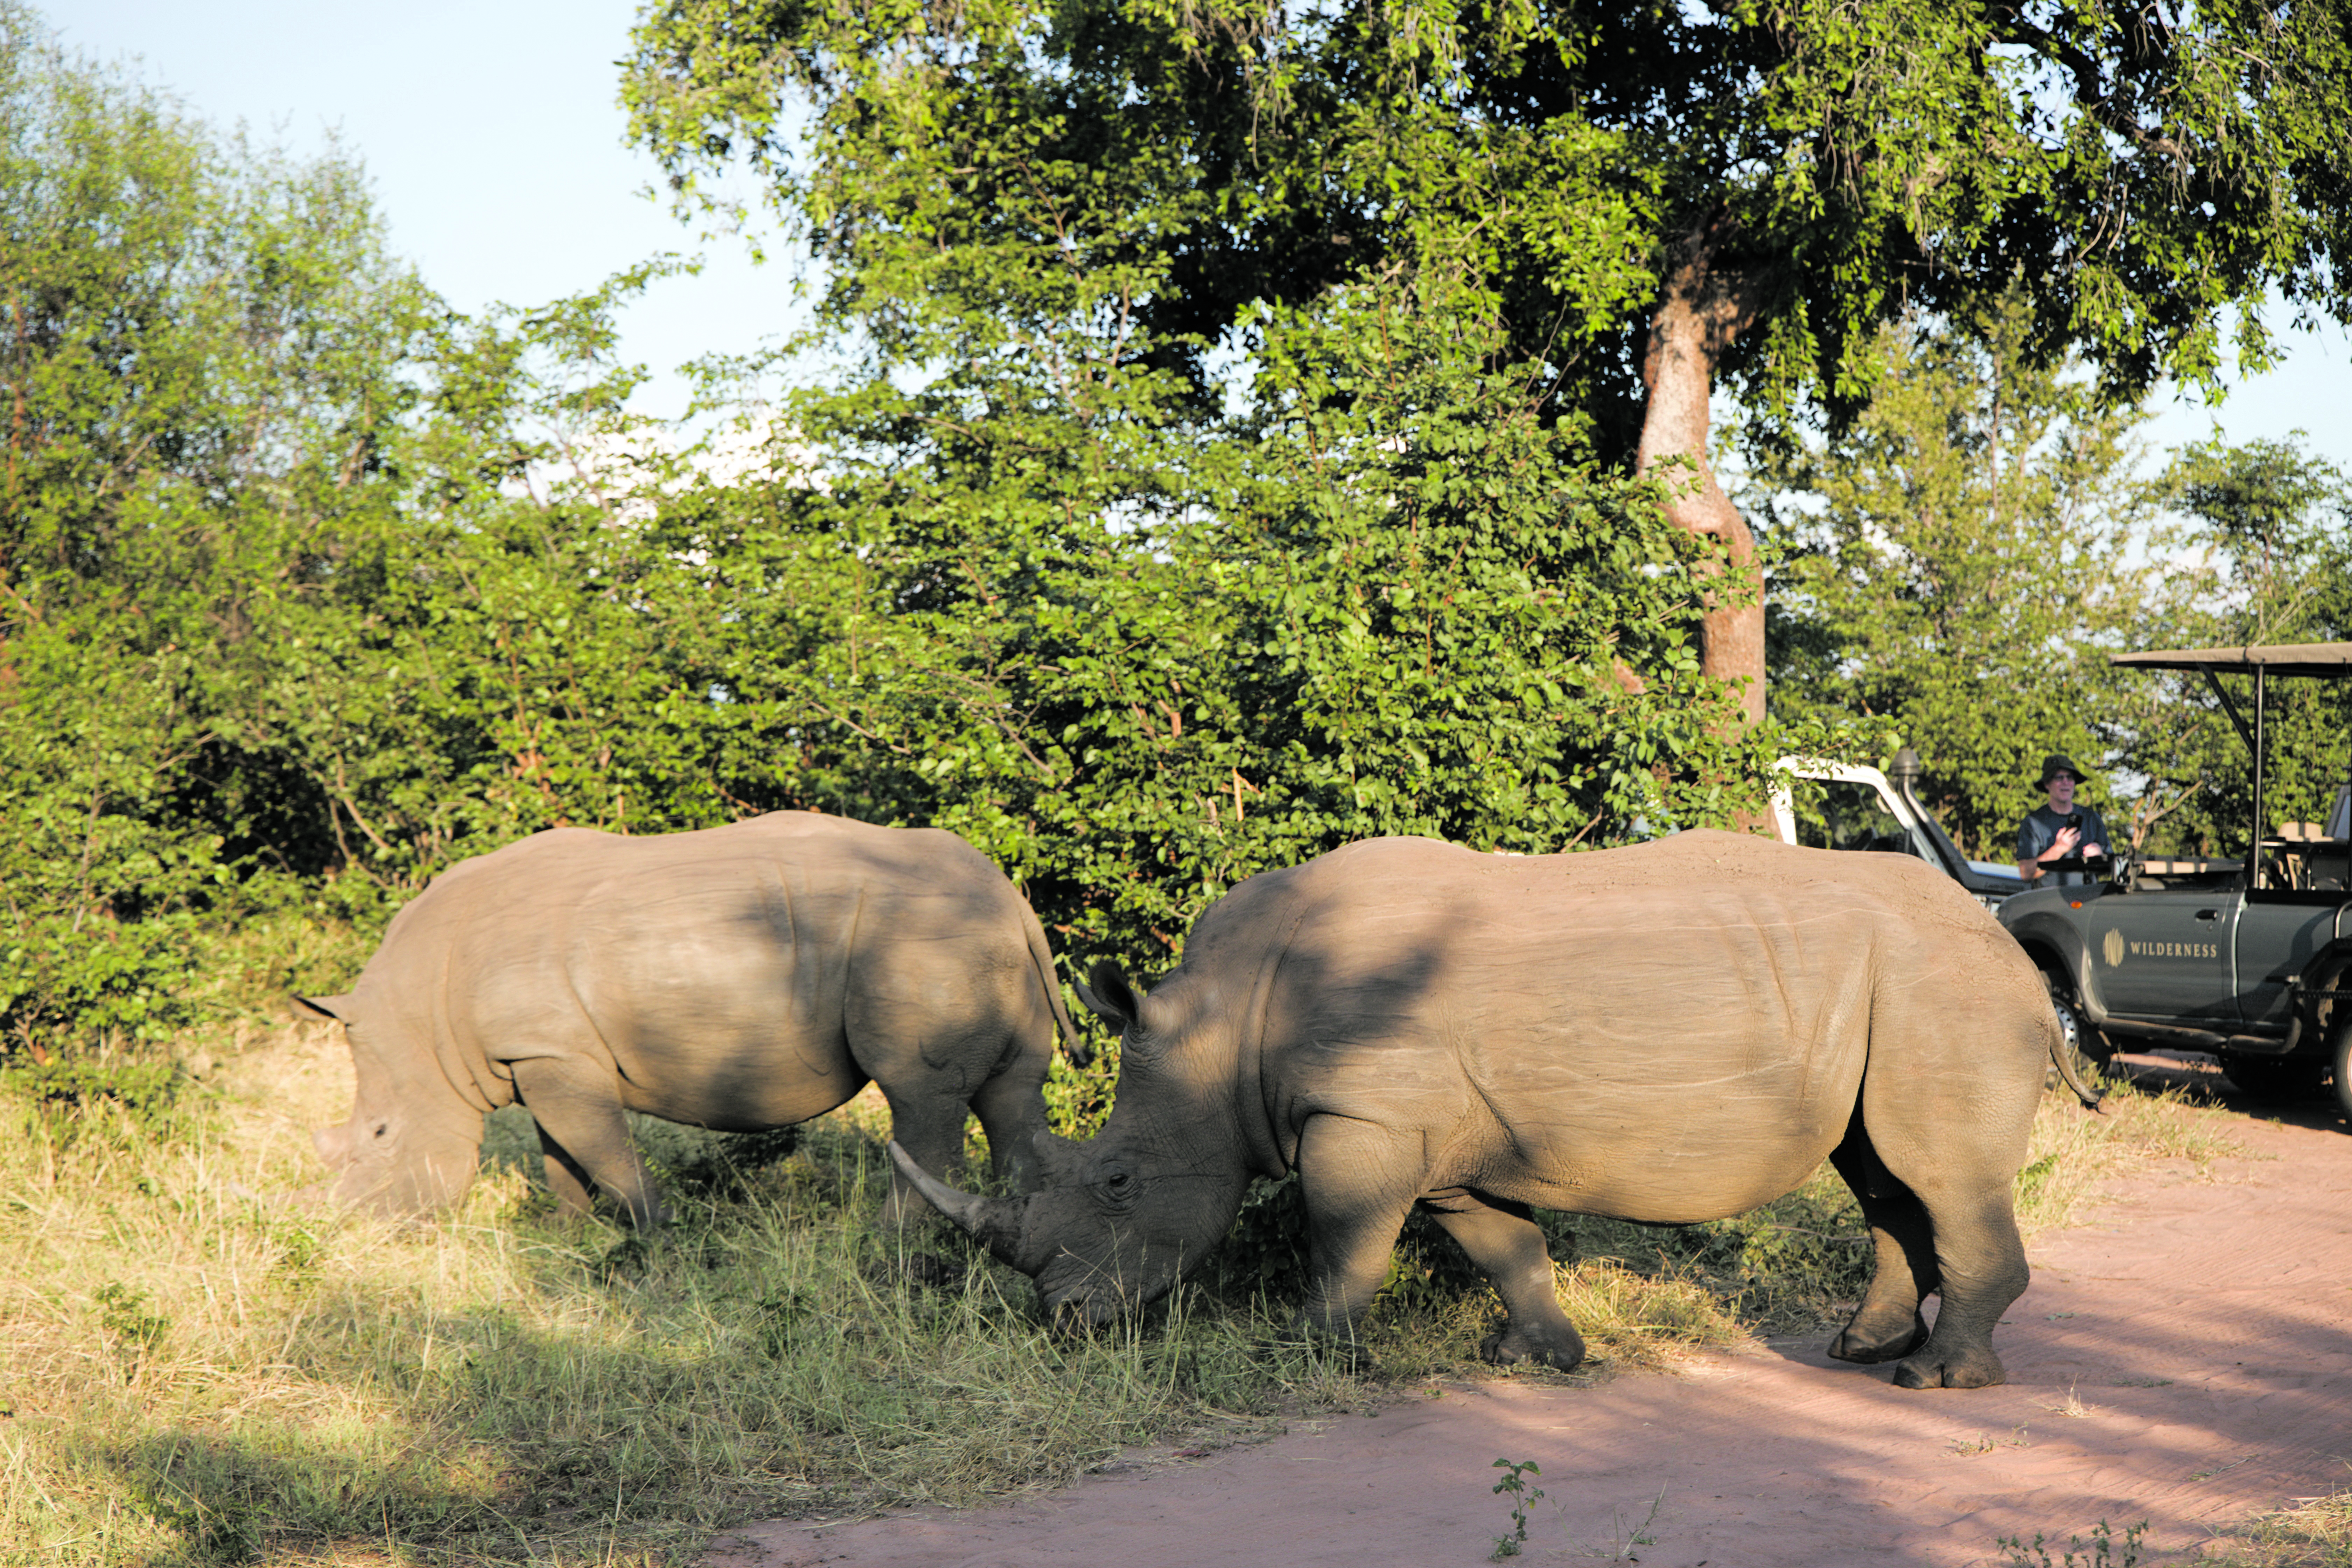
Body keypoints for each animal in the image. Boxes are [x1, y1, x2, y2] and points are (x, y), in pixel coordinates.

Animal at [299, 812, 1082, 1227]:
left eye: (380, 1134)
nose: (345, 1220)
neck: (426, 1015)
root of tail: (1008, 893)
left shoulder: (546, 1052)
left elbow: (602, 1149)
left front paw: (656, 1232)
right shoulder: (545, 1053)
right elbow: (562, 1152)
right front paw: (568, 1237)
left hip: (920, 937)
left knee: (922, 1097)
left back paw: (891, 1243)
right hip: (978, 934)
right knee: (1012, 1094)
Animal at [896, 829, 2090, 1390]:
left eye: (1116, 1179)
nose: (1064, 1321)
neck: (1222, 1034)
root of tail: (2018, 959)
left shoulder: (1362, 1118)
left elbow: (1342, 1239)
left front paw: (1312, 1354)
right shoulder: (1436, 1135)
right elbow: (1497, 1243)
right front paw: (1538, 1360)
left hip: (1943, 993)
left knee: (1934, 1172)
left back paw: (1933, 1380)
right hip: (1901, 993)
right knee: (1878, 1172)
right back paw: (1860, 1348)